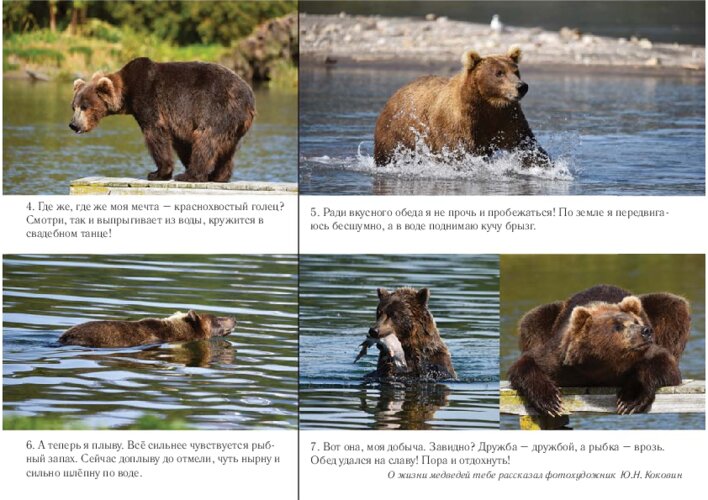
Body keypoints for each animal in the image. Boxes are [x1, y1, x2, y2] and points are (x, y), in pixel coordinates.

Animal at [70, 57, 255, 182]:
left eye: (85, 107)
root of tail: (249, 98)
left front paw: (157, 173)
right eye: (74, 106)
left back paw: (190, 175)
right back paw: (219, 175)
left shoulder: (149, 100)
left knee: (206, 139)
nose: (73, 125)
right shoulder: (180, 120)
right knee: (226, 148)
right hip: (233, 124)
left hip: (216, 109)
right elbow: (182, 142)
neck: (128, 93)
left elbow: (155, 134)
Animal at [373, 46, 550, 168]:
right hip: (397, 131)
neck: (488, 103)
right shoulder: (458, 122)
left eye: (516, 71)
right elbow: (460, 152)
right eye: (499, 73)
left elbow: (526, 145)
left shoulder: (507, 118)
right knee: (388, 153)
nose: (521, 86)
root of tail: (395, 93)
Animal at [508, 284, 690, 417]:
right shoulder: (558, 359)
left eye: (636, 321)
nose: (645, 331)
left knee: (673, 305)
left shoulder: (645, 354)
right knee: (532, 320)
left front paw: (629, 400)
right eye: (618, 326)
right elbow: (527, 363)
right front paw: (551, 401)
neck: (599, 364)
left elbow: (663, 363)